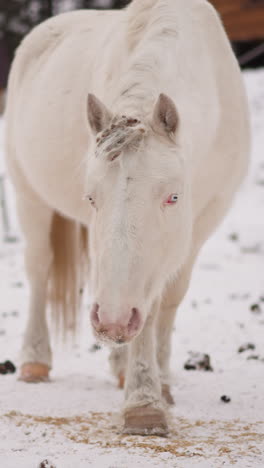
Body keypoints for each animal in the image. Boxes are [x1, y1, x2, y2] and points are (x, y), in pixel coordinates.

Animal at [5, 0, 250, 436]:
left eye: (173, 197)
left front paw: (159, 383)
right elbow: (147, 311)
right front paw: (144, 406)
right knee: (39, 270)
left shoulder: (201, 223)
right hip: (28, 197)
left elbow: (166, 301)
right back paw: (35, 361)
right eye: (91, 198)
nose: (112, 321)